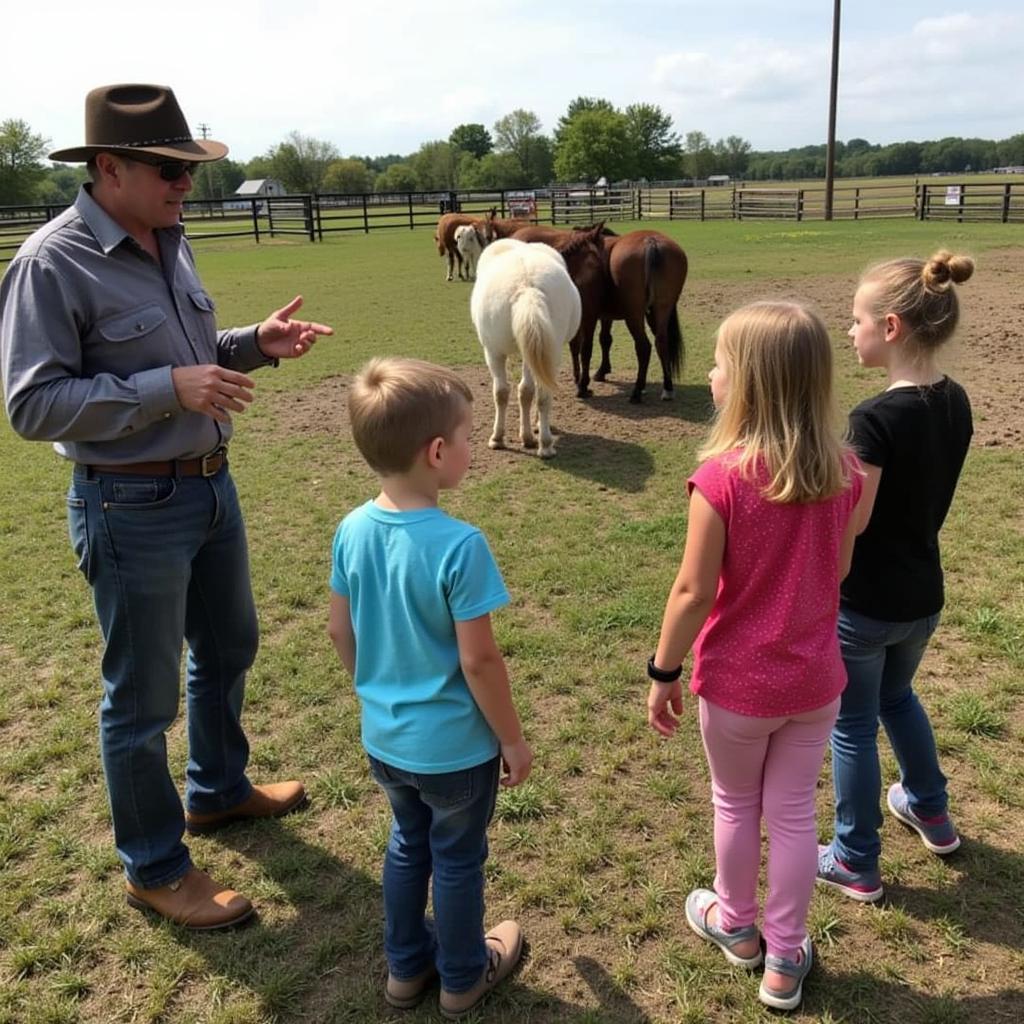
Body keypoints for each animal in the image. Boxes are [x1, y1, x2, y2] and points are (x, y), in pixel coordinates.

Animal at [468, 239, 581, 456]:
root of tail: (527, 287)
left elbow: (513, 392)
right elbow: (528, 391)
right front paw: (529, 434)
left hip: (495, 351)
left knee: (506, 392)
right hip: (546, 352)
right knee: (540, 393)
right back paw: (544, 443)